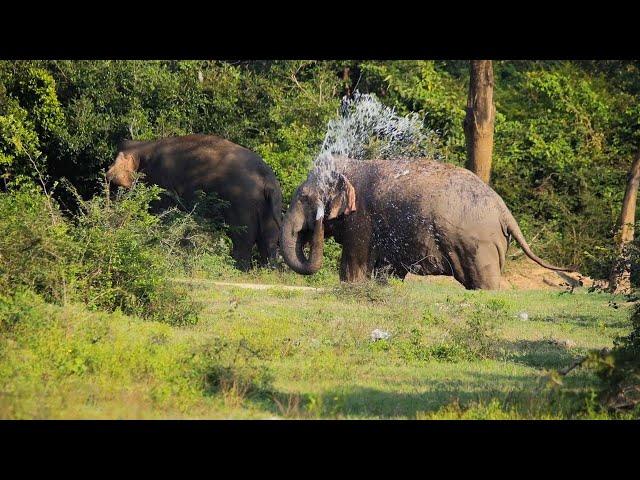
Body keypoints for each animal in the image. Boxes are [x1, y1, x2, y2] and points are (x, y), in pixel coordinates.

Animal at [106, 134, 282, 270]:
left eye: (113, 184)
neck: (143, 145)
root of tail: (267, 178)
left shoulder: (162, 181)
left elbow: (163, 215)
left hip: (242, 202)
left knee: (243, 239)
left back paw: (239, 270)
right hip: (269, 205)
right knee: (268, 240)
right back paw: (267, 272)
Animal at [280, 156, 568, 288]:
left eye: (304, 197)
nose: (316, 222)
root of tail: (504, 210)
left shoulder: (361, 221)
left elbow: (354, 264)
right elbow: (387, 269)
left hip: (479, 246)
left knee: (484, 282)